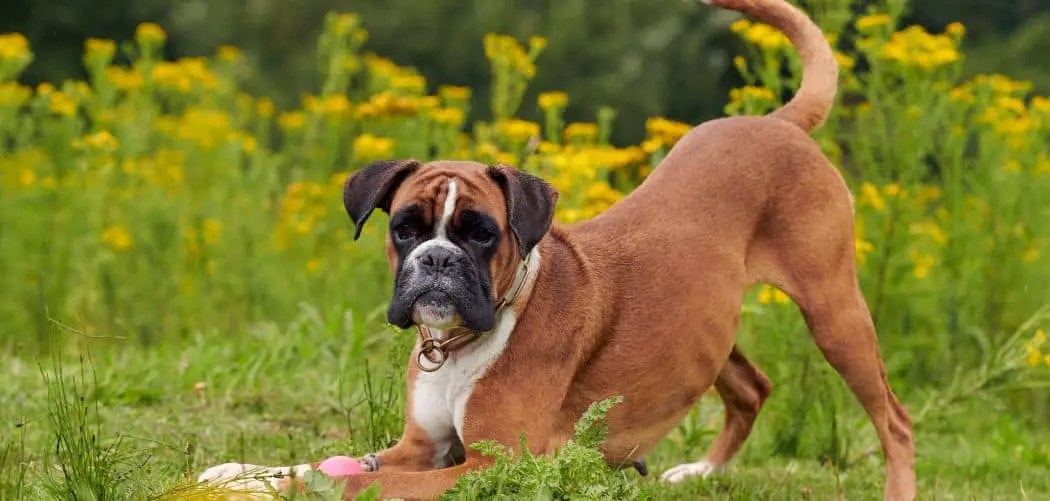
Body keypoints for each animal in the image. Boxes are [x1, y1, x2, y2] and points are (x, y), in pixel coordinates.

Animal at [195, 0, 911, 497]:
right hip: (709, 326)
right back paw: (701, 473)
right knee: (752, 388)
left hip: (834, 312)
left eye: (481, 232)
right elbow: (323, 459)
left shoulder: (489, 466)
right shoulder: (419, 447)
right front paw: (239, 471)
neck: (464, 341)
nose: (436, 260)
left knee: (894, 421)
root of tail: (778, 123)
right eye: (405, 228)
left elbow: (353, 477)